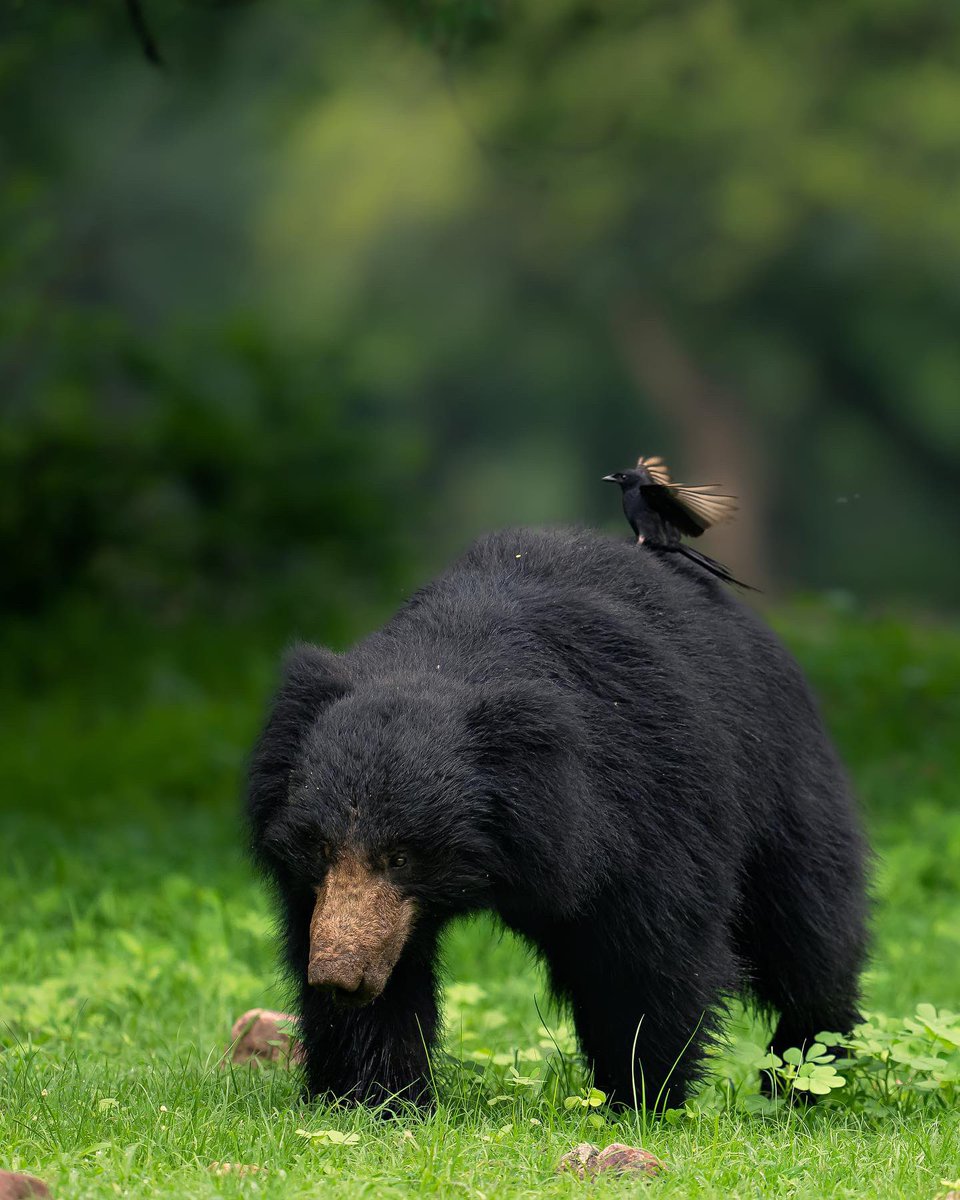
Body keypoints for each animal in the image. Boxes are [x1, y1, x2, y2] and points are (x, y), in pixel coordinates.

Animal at [249, 530, 868, 1108]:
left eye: (401, 856)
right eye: (320, 847)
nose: (339, 976)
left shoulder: (646, 798)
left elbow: (649, 955)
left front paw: (640, 1095)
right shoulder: (338, 899)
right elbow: (387, 978)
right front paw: (372, 1098)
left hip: (782, 786)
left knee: (804, 929)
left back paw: (804, 1070)